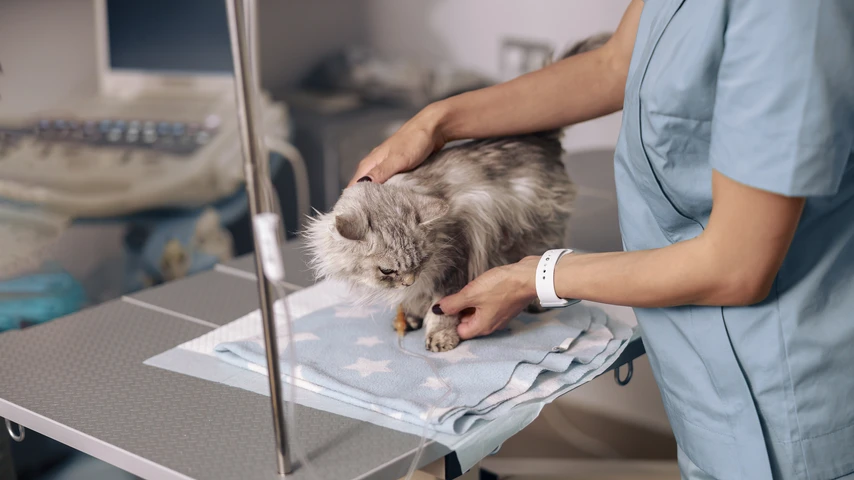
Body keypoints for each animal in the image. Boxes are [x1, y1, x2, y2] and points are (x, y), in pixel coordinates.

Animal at [304, 32, 612, 352]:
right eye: (387, 271)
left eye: (421, 260)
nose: (408, 280)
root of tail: (540, 138)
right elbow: (416, 299)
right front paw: (409, 316)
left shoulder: (454, 263)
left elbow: (440, 308)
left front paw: (440, 337)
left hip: (538, 231)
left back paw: (537, 303)